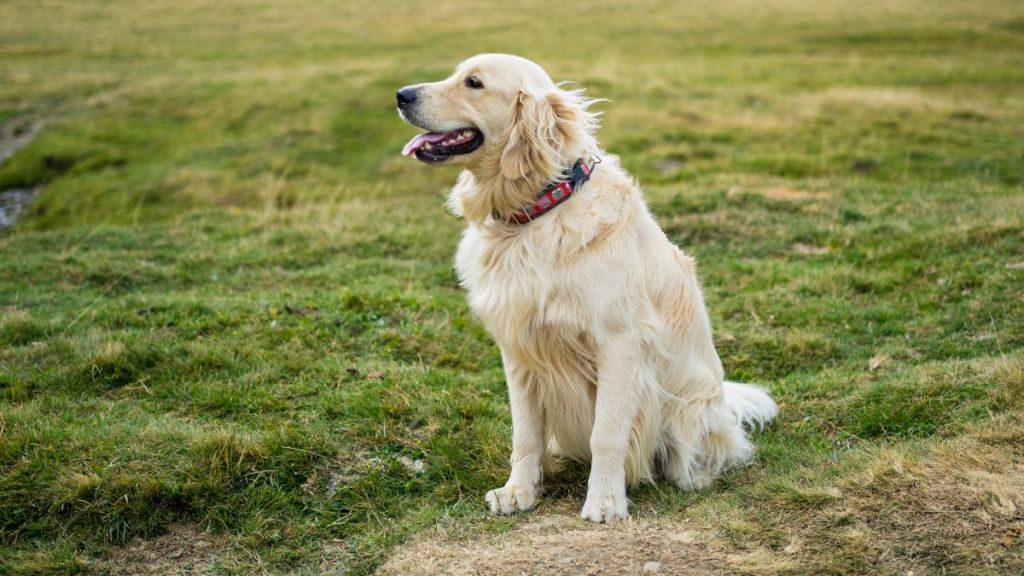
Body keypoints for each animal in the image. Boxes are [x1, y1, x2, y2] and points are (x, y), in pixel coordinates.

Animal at [393, 53, 774, 520]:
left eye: (474, 83)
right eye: (456, 74)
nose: (401, 94)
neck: (537, 213)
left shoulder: (619, 344)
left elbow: (606, 433)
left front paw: (605, 501)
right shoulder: (519, 349)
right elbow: (525, 434)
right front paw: (519, 491)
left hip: (690, 408)